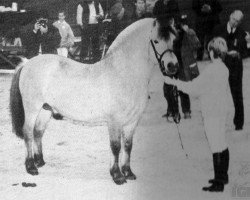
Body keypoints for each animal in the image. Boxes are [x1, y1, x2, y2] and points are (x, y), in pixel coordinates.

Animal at [9, 18, 178, 185]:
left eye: (174, 40)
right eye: (156, 41)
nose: (172, 66)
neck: (123, 73)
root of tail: (28, 63)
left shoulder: (132, 122)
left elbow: (128, 146)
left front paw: (128, 172)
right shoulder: (114, 121)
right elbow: (115, 147)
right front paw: (117, 176)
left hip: (46, 109)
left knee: (38, 132)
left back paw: (40, 162)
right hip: (32, 108)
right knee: (28, 132)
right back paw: (31, 167)